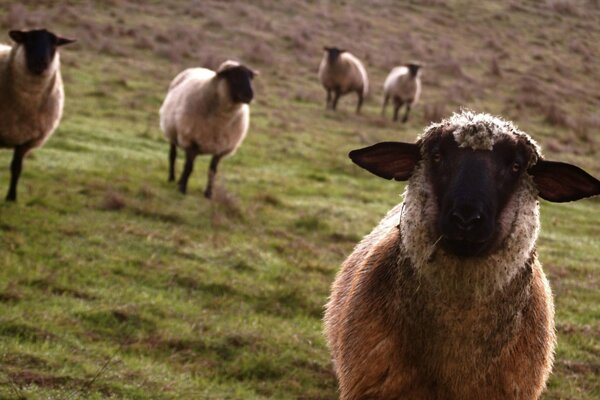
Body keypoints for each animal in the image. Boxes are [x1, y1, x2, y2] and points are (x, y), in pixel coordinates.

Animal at [0, 29, 74, 202]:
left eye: (54, 44)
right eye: (29, 40)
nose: (41, 63)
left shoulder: (27, 139)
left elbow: (16, 168)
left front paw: (11, 198)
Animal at [158, 60, 256, 199]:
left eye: (250, 77)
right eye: (234, 76)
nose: (250, 95)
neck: (222, 119)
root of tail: (197, 67)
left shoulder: (220, 148)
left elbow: (212, 171)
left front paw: (208, 194)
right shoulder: (191, 141)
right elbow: (189, 167)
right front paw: (182, 189)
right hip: (172, 133)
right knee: (172, 156)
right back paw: (172, 178)